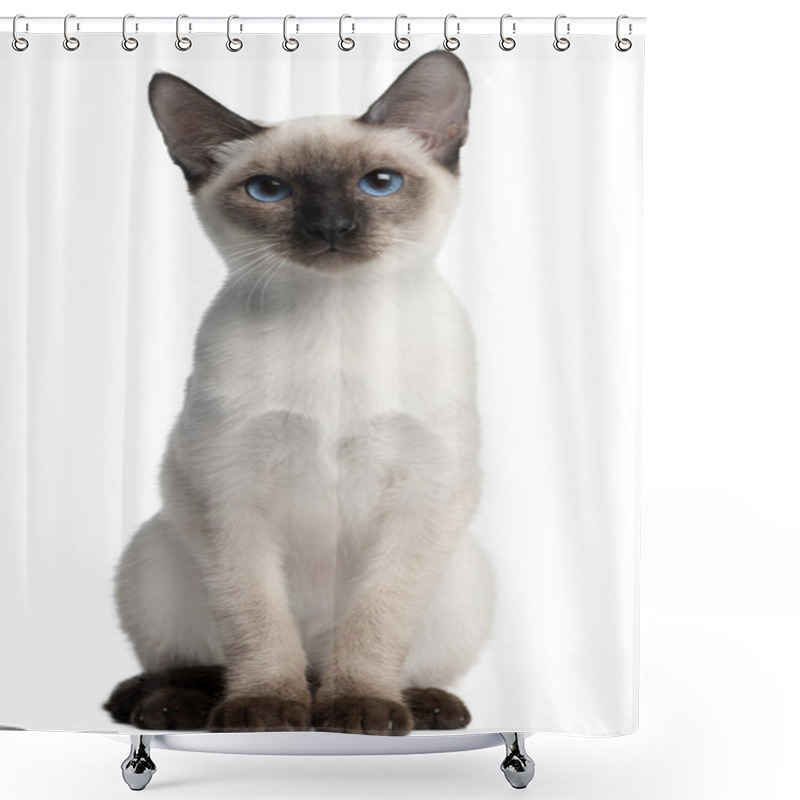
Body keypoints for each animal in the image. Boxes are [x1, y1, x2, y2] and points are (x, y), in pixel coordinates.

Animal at [104, 50, 494, 736]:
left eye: (380, 183)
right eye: (269, 191)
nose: (331, 227)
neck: (335, 320)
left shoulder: (424, 494)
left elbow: (377, 623)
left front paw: (361, 708)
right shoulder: (228, 493)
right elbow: (257, 622)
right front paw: (265, 708)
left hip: (467, 572)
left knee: (394, 659)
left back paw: (420, 706)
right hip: (154, 550)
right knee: (187, 665)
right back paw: (183, 707)